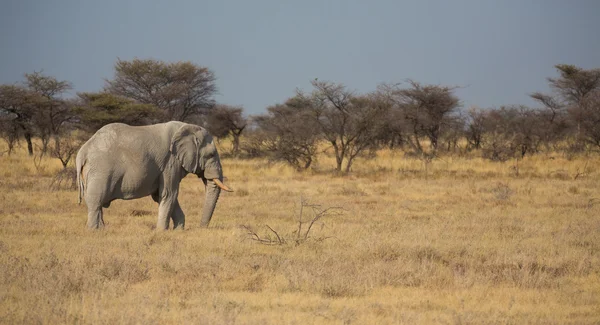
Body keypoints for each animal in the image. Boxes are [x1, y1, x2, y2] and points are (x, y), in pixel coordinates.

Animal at [74, 120, 232, 229]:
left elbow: (162, 196)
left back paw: (102, 229)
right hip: (100, 170)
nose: (201, 227)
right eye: (211, 155)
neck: (186, 127)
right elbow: (169, 194)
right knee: (96, 200)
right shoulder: (170, 162)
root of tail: (83, 151)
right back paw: (94, 231)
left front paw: (178, 230)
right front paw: (162, 231)